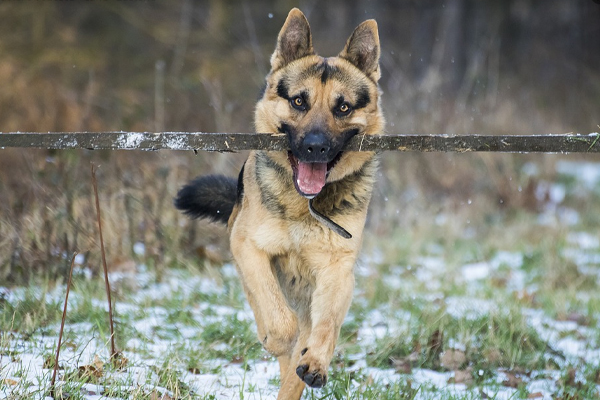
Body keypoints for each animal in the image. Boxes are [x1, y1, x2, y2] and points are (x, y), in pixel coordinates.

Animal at [176, 7, 384, 398]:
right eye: (299, 101)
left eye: (343, 107)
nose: (315, 147)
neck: (305, 206)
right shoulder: (249, 248)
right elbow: (276, 317)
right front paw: (275, 339)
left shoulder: (337, 271)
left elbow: (327, 326)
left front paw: (315, 362)